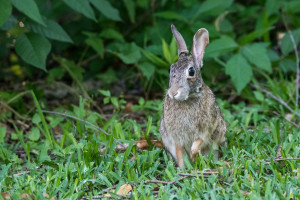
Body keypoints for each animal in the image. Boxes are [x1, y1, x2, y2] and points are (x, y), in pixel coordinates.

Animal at [159, 25, 225, 169]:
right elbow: (179, 152)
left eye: (191, 71)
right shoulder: (176, 137)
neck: (187, 99)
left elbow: (199, 141)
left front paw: (193, 155)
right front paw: (183, 167)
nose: (173, 92)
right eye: (171, 69)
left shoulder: (206, 128)